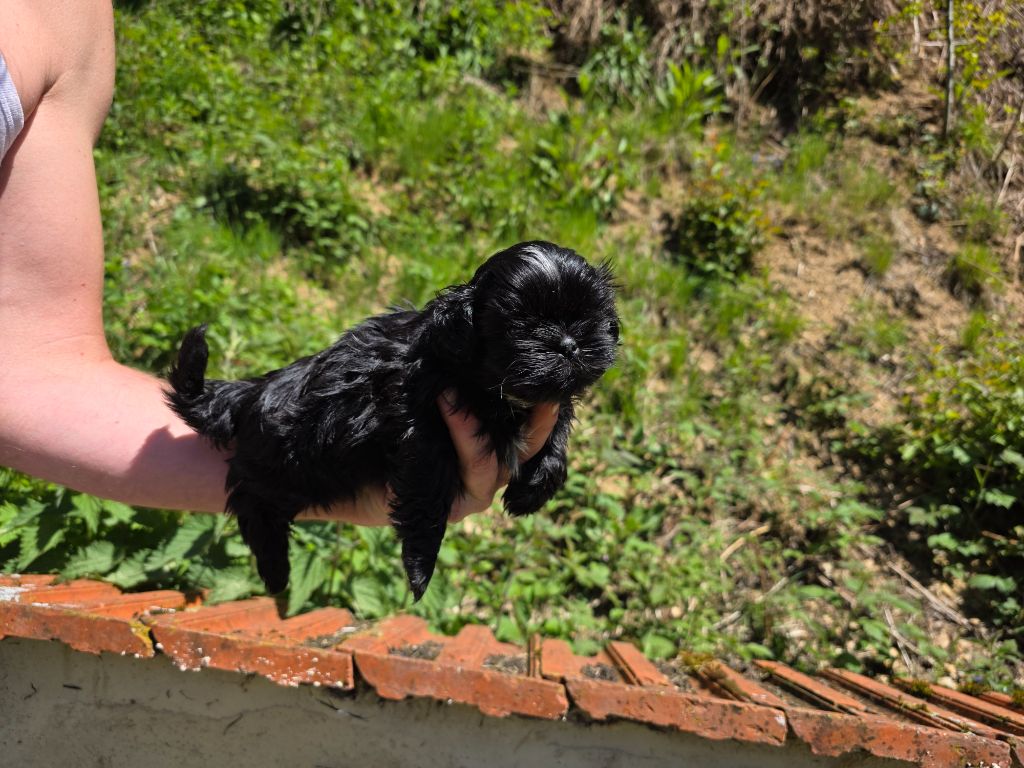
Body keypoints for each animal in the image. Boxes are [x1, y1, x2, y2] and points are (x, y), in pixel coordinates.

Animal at [166, 241, 619, 599]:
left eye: (589, 316)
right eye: (521, 324)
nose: (568, 344)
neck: (479, 379)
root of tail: (248, 392)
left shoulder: (543, 403)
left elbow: (557, 427)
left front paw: (536, 486)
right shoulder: (420, 429)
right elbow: (428, 493)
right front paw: (420, 567)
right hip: (288, 464)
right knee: (250, 500)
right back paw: (276, 572)